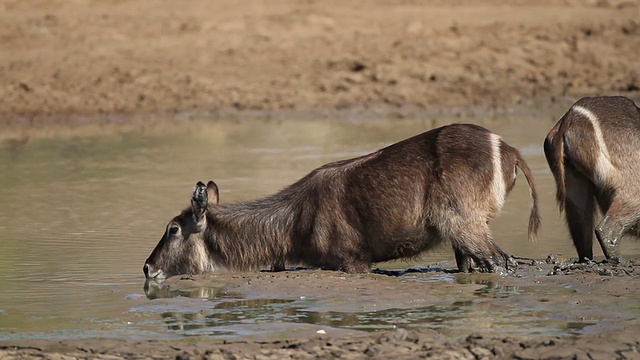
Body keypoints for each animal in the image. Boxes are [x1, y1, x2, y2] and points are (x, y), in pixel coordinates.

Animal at [145, 124, 540, 278]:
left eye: (173, 228)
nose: (147, 268)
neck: (295, 221)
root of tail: (508, 148)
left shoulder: (353, 261)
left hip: (466, 224)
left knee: (503, 262)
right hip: (462, 237)